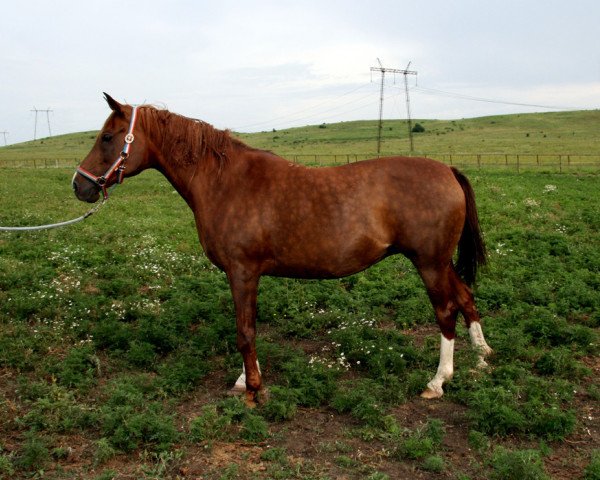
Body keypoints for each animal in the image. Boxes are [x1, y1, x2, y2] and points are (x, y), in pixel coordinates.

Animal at [72, 94, 490, 404]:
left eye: (107, 137)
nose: (80, 185)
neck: (224, 181)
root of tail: (448, 170)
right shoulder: (246, 274)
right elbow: (248, 326)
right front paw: (245, 379)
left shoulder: (242, 271)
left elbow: (245, 330)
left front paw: (254, 390)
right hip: (441, 262)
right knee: (466, 297)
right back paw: (483, 358)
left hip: (429, 263)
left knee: (446, 312)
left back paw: (437, 382)